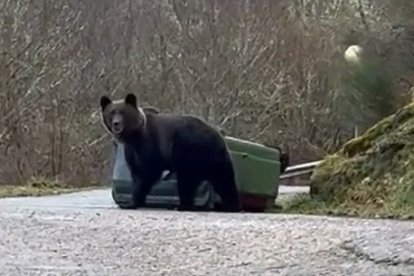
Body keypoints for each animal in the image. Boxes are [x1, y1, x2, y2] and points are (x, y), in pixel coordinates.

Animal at [99, 94, 239, 212]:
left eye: (123, 112)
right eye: (111, 113)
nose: (116, 124)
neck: (134, 135)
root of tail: (218, 136)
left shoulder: (150, 145)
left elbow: (146, 172)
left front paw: (132, 202)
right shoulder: (131, 150)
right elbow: (136, 171)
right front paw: (131, 202)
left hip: (187, 150)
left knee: (189, 180)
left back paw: (184, 205)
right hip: (211, 158)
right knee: (223, 178)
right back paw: (230, 205)